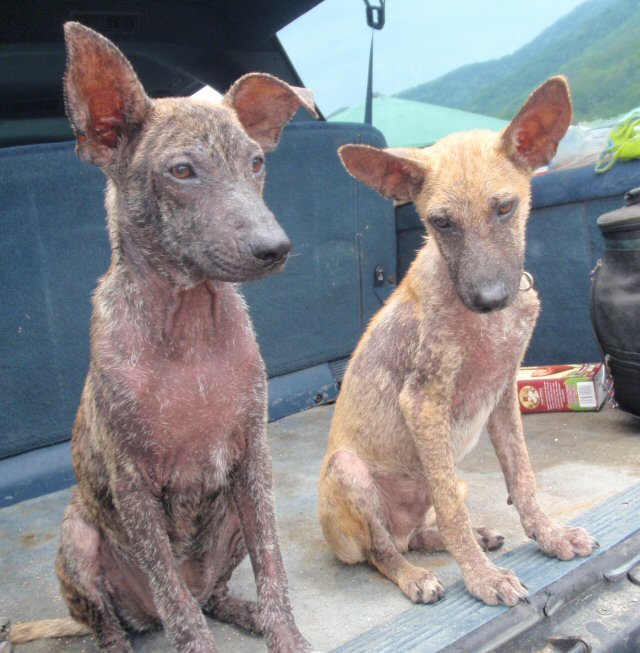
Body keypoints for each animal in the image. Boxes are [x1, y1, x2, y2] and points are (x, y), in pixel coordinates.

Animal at [9, 22, 316, 653]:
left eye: (256, 162)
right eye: (181, 172)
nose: (275, 248)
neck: (189, 325)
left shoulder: (253, 461)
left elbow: (273, 569)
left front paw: (284, 634)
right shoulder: (134, 488)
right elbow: (179, 608)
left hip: (230, 521)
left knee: (212, 596)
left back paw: (244, 612)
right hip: (78, 541)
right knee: (120, 621)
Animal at [317, 77, 596, 606]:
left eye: (505, 208)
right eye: (441, 223)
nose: (489, 299)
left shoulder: (504, 393)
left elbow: (522, 477)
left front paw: (549, 536)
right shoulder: (423, 401)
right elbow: (451, 511)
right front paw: (483, 578)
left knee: (418, 533)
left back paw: (464, 538)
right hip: (349, 472)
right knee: (383, 551)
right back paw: (415, 575)